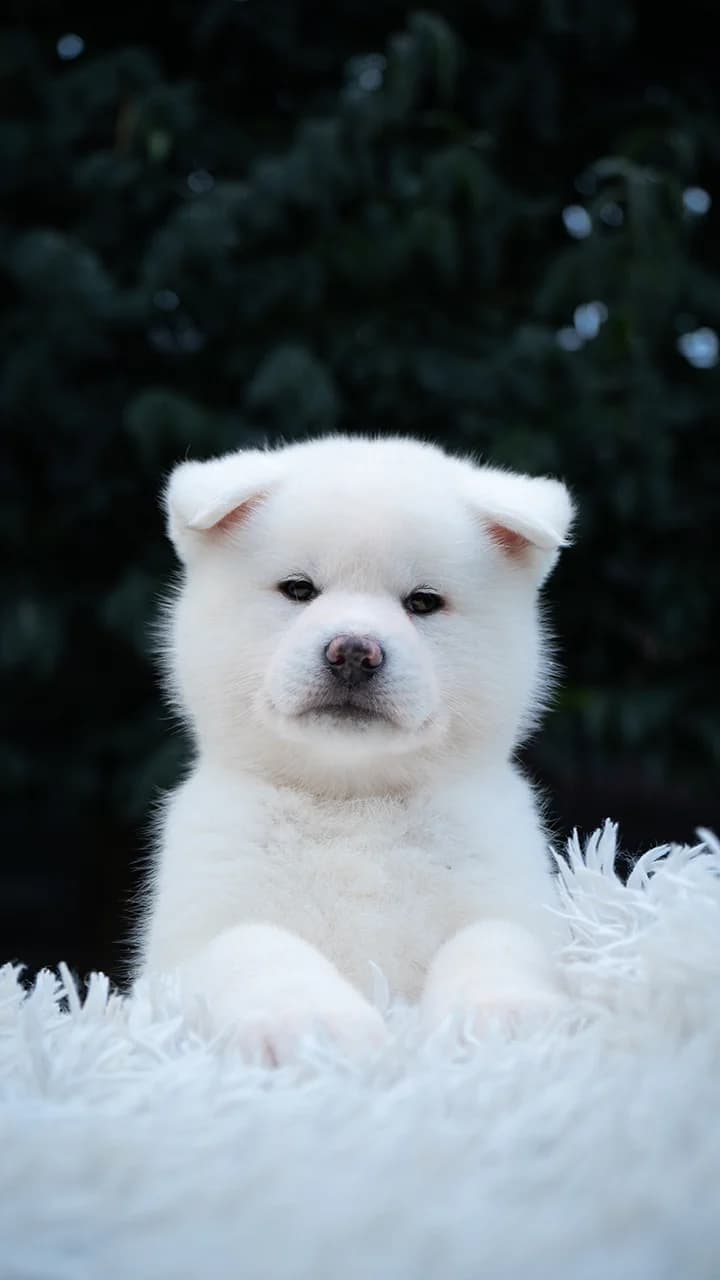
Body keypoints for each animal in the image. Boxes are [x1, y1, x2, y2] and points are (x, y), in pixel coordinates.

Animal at [133, 435, 571, 1064]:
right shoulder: (184, 944)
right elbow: (254, 944)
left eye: (423, 602)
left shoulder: (518, 897)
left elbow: (496, 939)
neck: (352, 799)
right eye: (298, 590)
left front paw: (505, 1015)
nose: (354, 652)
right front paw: (313, 1025)